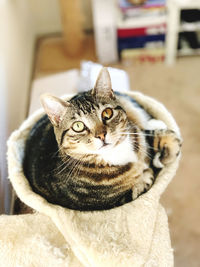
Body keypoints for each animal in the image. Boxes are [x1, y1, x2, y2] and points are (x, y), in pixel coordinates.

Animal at [23, 68, 181, 213]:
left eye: (107, 113)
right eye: (78, 126)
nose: (101, 135)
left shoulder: (135, 131)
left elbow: (155, 138)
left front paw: (169, 145)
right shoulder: (111, 204)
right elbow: (142, 183)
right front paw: (149, 170)